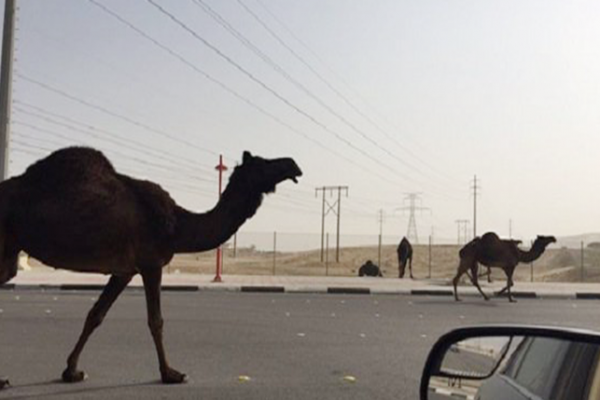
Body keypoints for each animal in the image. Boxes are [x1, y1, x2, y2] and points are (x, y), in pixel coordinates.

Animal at [0, 147, 300, 388]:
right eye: (263, 163)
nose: (293, 164)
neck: (177, 225)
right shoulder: (151, 262)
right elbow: (156, 320)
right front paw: (170, 373)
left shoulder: (124, 271)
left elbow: (95, 315)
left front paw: (71, 371)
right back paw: (3, 379)